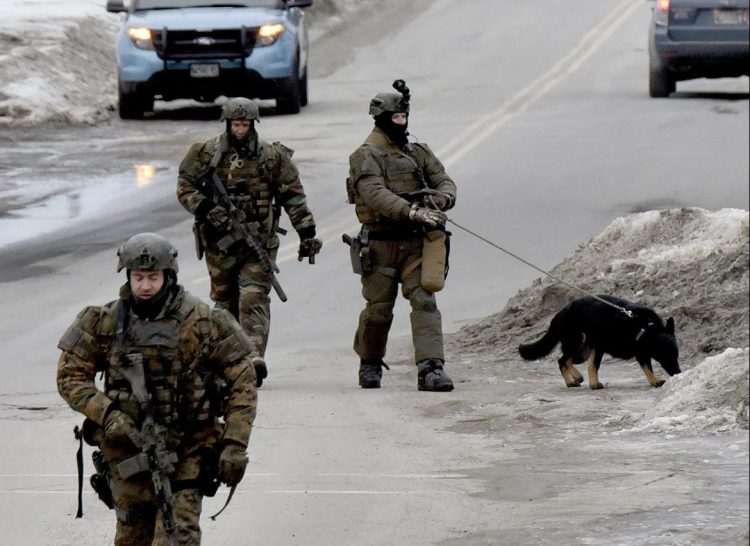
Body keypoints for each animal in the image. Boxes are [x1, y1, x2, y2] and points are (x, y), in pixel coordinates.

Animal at [520, 296, 684, 388]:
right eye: (666, 357)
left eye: (676, 356)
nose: (678, 373)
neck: (644, 327)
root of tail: (561, 312)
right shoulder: (600, 348)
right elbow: (594, 366)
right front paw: (594, 384)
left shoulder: (642, 353)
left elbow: (647, 368)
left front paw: (653, 381)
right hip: (577, 343)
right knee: (562, 360)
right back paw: (570, 382)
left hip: (583, 351)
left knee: (567, 360)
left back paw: (577, 377)